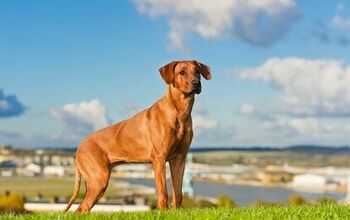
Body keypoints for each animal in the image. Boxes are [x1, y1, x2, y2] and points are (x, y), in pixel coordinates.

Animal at [64, 60, 212, 213]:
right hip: (99, 179)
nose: (196, 83)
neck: (180, 112)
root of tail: (79, 148)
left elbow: (178, 193)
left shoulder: (179, 159)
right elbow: (163, 192)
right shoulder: (159, 159)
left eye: (197, 71)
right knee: (81, 209)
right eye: (181, 72)